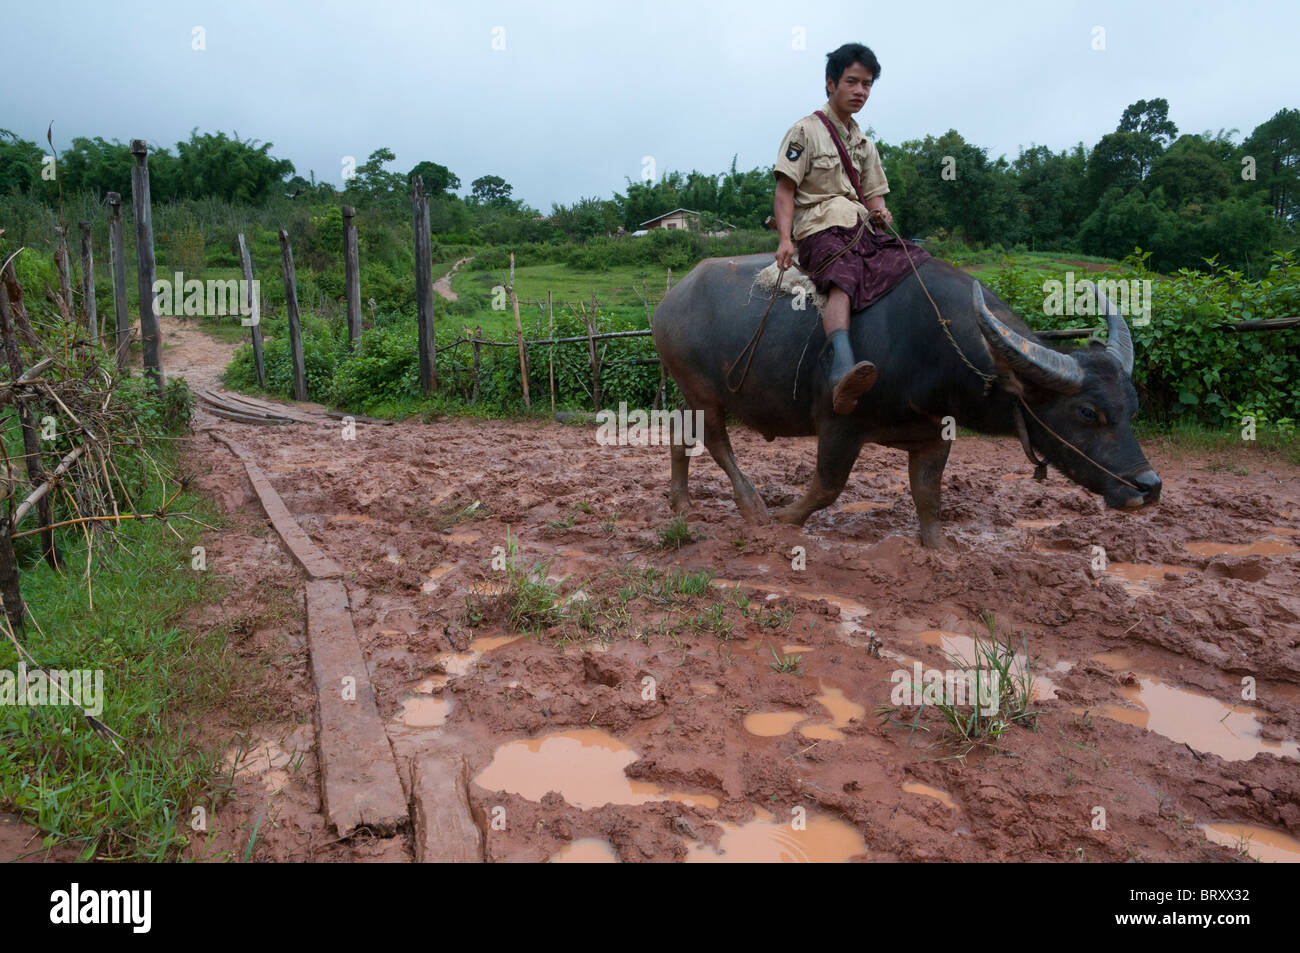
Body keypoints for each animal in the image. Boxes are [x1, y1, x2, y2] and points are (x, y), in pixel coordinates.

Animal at [655, 252, 1164, 546]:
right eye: (1088, 412)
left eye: (1132, 408)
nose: (1149, 487)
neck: (928, 344)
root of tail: (669, 303)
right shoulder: (839, 425)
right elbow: (827, 486)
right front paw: (784, 520)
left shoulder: (935, 433)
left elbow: (928, 497)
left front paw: (938, 551)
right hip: (704, 392)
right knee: (716, 440)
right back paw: (752, 506)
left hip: (689, 393)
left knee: (683, 434)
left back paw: (681, 504)